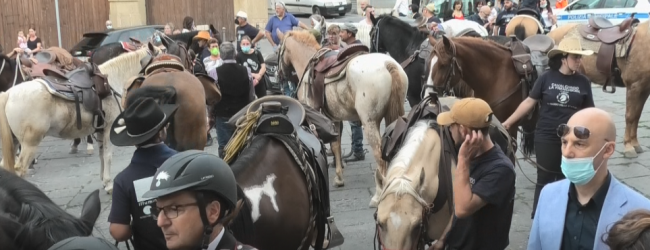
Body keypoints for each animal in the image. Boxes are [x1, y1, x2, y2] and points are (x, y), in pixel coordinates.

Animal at [0, 47, 152, 193]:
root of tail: (8, 93)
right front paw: (109, 185)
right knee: (20, 170)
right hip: (29, 144)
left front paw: (103, 181)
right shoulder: (109, 128)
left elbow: (102, 155)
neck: (112, 81)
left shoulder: (101, 130)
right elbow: (108, 155)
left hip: (14, 142)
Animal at [276, 29, 408, 207]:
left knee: (380, 155)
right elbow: (336, 145)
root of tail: (388, 64)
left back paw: (378, 195)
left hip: (369, 122)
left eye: (278, 50)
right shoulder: (334, 119)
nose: (279, 75)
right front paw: (339, 177)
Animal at [544, 19, 644, 157]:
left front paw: (635, 144)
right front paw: (629, 147)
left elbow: (637, 115)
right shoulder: (634, 85)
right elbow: (630, 116)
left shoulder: (644, 87)